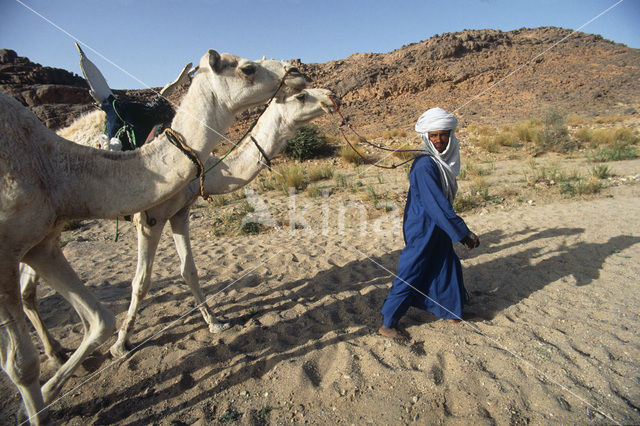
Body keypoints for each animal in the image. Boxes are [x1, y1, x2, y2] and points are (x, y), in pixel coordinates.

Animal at [0, 48, 306, 424]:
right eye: (248, 68)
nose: (297, 70)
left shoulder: (180, 212)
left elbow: (189, 272)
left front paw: (216, 323)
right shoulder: (151, 218)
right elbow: (141, 283)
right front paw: (121, 344)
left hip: (50, 231)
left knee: (31, 289)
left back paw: (56, 352)